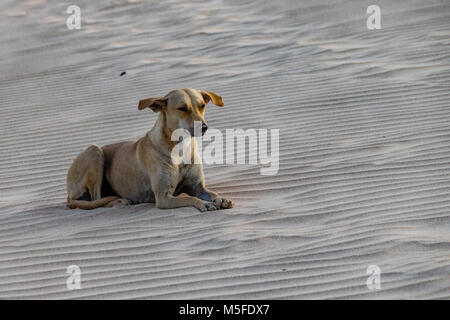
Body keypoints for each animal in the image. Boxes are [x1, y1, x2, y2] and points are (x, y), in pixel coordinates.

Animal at [67, 89, 236, 211]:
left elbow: (210, 193)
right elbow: (190, 198)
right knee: (96, 200)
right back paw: (119, 201)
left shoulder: (198, 187)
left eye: (202, 106)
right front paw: (204, 204)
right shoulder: (163, 198)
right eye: (182, 108)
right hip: (94, 151)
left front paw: (221, 199)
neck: (180, 148)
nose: (204, 127)